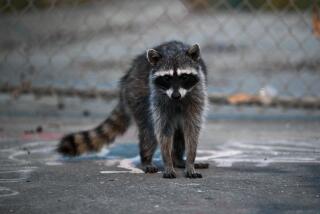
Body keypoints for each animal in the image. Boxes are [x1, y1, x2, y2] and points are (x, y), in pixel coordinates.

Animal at [58, 41, 209, 178]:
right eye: (167, 78)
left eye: (184, 76)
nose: (176, 95)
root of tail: (128, 76)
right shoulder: (158, 98)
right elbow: (163, 131)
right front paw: (167, 162)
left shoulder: (197, 95)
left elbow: (192, 130)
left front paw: (190, 161)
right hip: (137, 94)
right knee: (149, 131)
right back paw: (147, 159)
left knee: (178, 132)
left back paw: (178, 160)